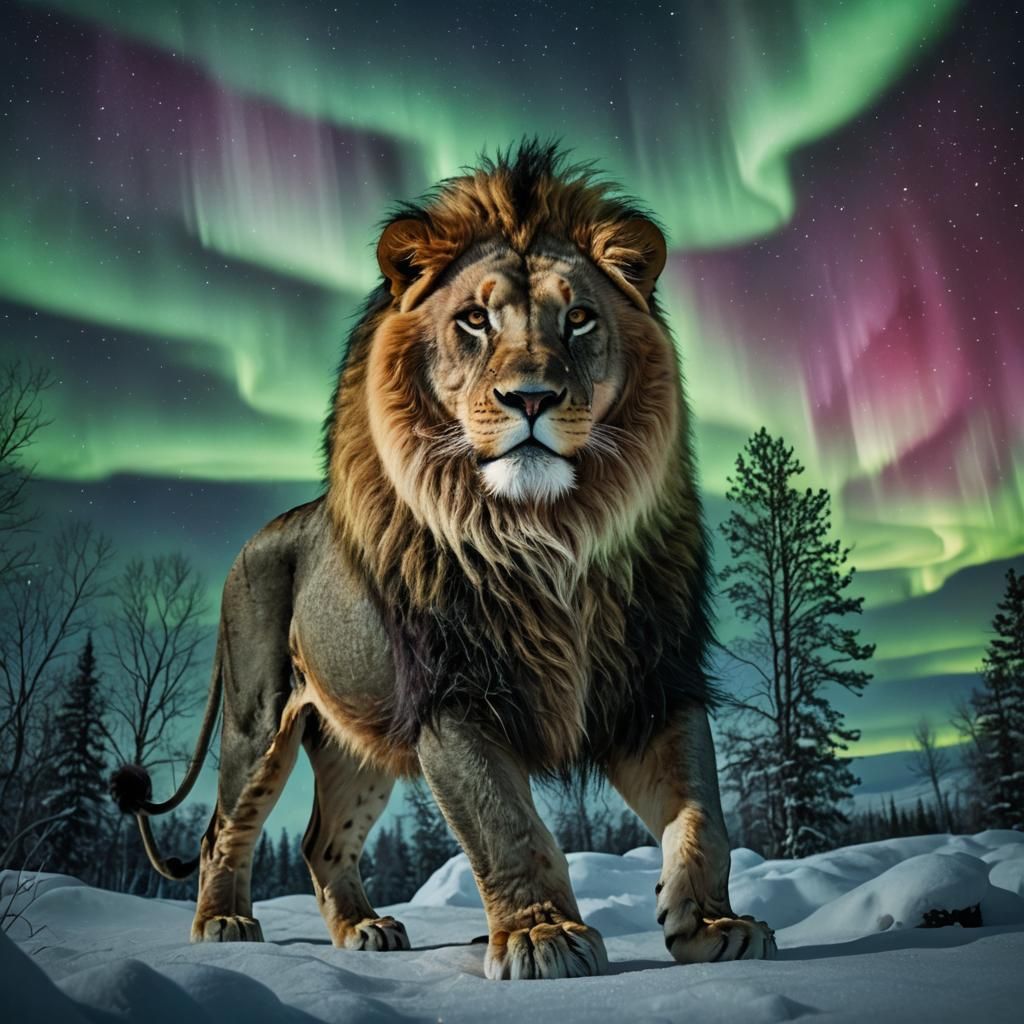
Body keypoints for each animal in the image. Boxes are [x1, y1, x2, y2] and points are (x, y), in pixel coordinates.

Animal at [111, 140, 775, 978]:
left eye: (579, 319)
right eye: (474, 320)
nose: (532, 397)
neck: (546, 535)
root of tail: (257, 539)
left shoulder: (653, 683)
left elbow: (704, 815)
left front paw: (714, 925)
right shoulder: (453, 694)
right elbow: (505, 824)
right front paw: (541, 938)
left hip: (357, 742)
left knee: (321, 841)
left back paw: (365, 930)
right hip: (257, 718)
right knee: (221, 829)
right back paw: (224, 924)